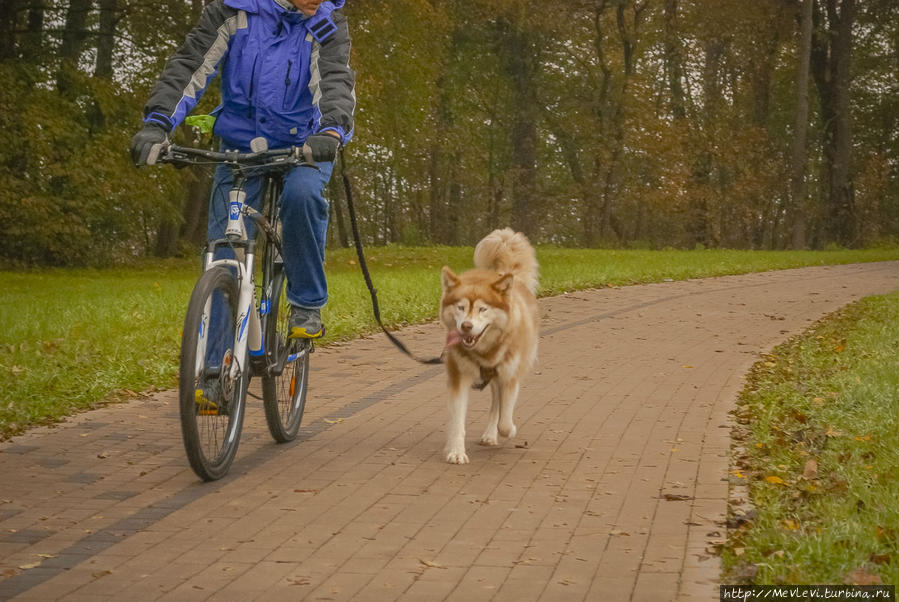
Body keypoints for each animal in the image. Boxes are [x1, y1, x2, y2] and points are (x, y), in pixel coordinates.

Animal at [440, 227, 536, 462]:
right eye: (460, 307)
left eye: (483, 309)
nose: (466, 326)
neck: (484, 351)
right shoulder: (458, 378)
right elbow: (457, 421)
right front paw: (456, 451)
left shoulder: (510, 377)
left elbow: (505, 419)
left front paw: (509, 429)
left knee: (497, 405)